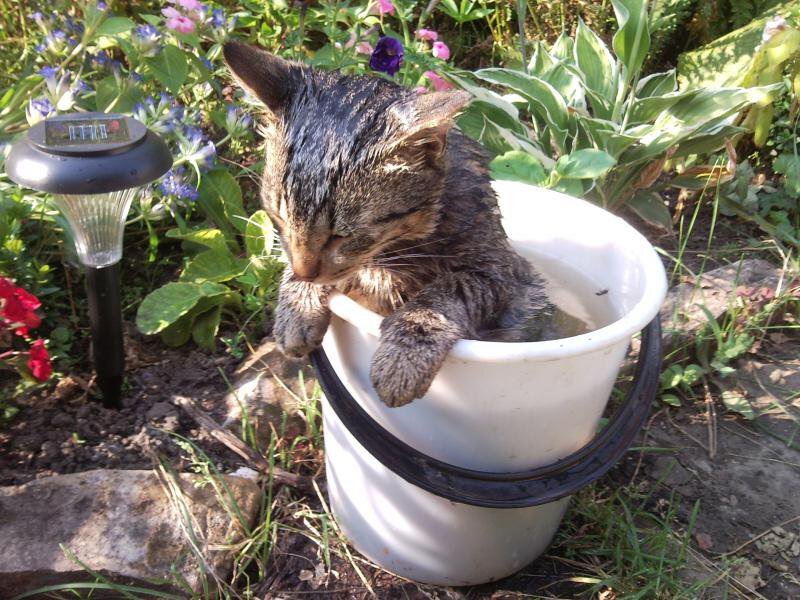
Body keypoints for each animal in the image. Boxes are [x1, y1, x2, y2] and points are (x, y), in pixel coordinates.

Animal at [222, 42, 552, 408]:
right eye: (279, 218)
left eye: (341, 235)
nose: (305, 273)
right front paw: (296, 304)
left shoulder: (501, 273)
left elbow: (445, 290)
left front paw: (403, 357)